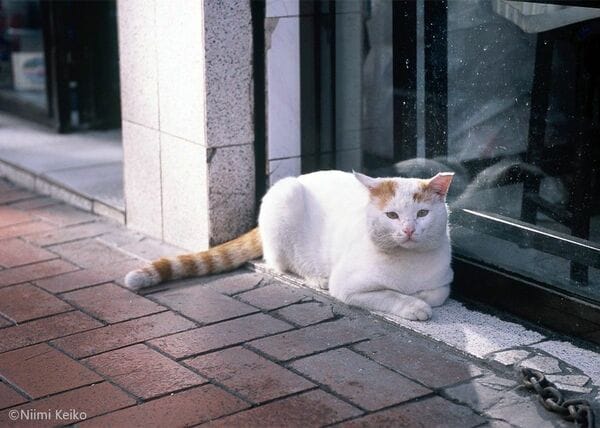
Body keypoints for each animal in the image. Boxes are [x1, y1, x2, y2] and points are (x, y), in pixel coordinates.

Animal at [126, 171, 454, 320]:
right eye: (392, 216)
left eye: (422, 214)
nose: (409, 230)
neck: (407, 264)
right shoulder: (349, 287)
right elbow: (388, 295)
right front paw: (413, 306)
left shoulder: (445, 282)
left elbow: (436, 294)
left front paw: (420, 297)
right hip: (285, 197)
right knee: (282, 263)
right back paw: (316, 278)